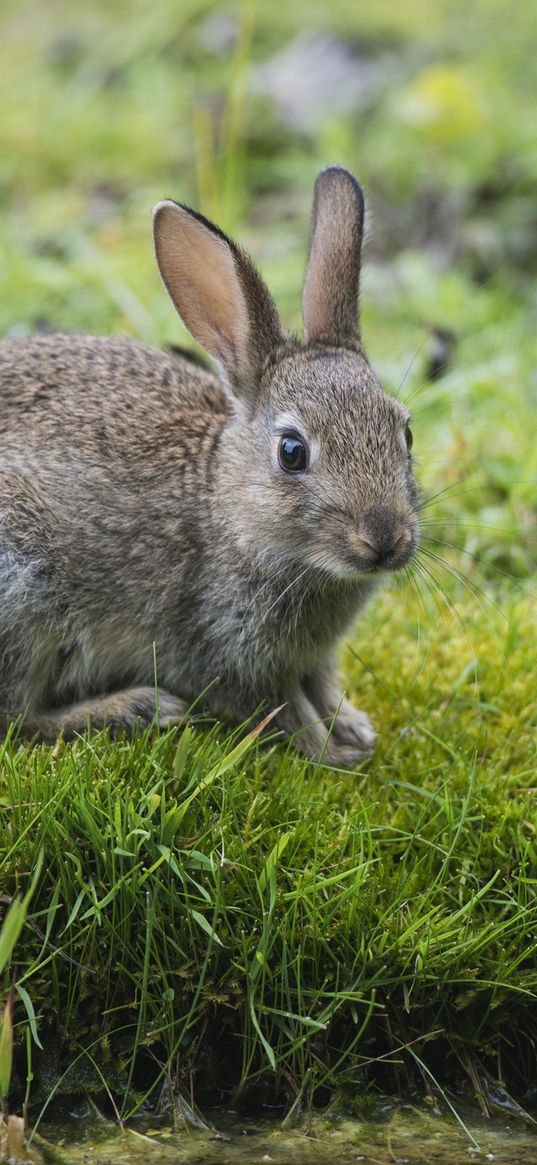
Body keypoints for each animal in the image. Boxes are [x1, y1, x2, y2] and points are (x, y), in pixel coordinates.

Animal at [0, 164, 419, 764]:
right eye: (292, 452)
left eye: (404, 432)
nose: (385, 539)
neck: (227, 507)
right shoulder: (224, 649)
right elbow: (285, 708)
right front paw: (334, 754)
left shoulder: (312, 658)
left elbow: (322, 686)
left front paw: (355, 729)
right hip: (23, 590)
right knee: (17, 720)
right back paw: (136, 707)